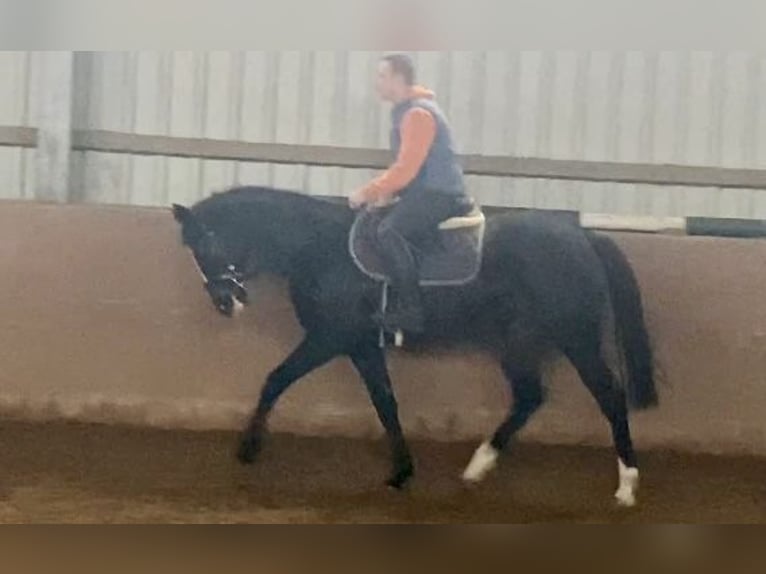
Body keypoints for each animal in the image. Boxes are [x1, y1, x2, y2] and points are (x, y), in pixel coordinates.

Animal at [174, 186, 660, 508]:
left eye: (208, 241)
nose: (224, 303)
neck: (319, 249)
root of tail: (583, 239)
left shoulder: (329, 338)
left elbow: (276, 379)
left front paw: (248, 450)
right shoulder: (362, 347)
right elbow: (385, 404)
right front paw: (401, 473)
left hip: (576, 339)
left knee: (609, 397)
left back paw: (627, 485)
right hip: (517, 342)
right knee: (528, 397)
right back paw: (477, 465)